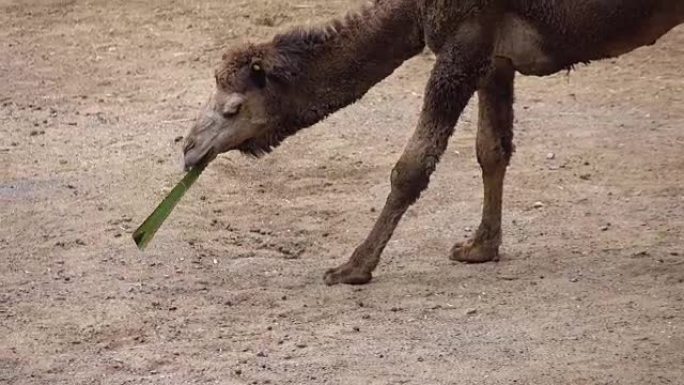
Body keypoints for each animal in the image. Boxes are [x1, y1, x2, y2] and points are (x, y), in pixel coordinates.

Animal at [182, 0, 684, 282]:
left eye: (233, 108)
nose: (188, 148)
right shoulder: (492, 54)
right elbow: (492, 149)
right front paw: (480, 249)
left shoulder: (462, 42)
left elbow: (411, 167)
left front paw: (353, 267)